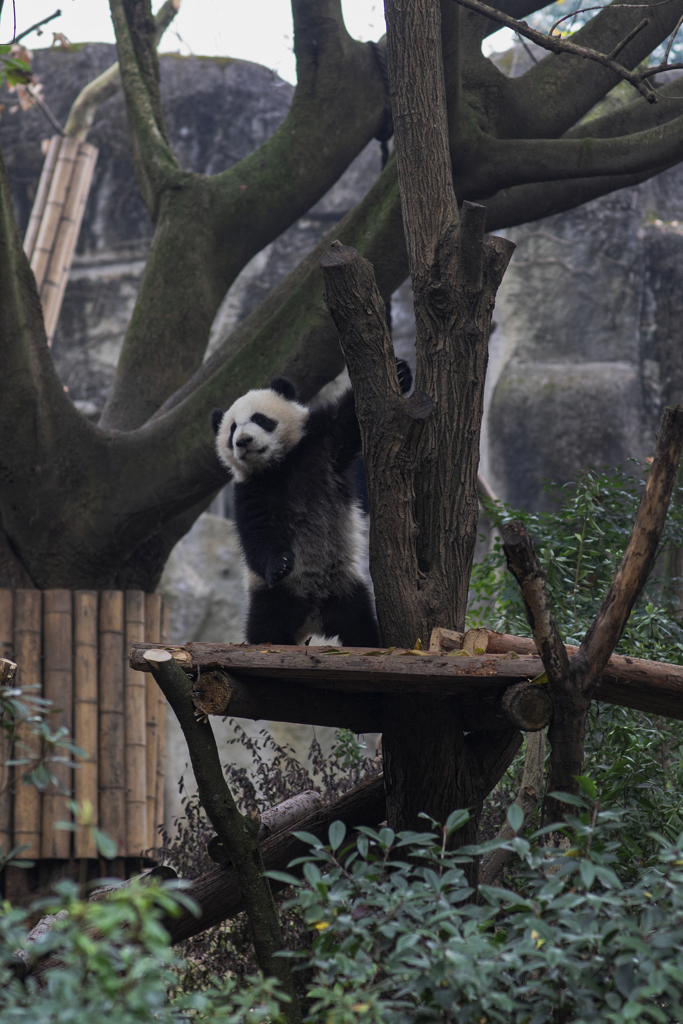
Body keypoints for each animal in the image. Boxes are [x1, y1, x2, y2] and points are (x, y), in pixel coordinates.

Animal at [211, 364, 411, 643]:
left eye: (260, 419)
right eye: (231, 429)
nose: (244, 441)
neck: (279, 464)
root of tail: (311, 622)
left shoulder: (321, 445)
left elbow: (348, 419)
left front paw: (401, 374)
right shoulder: (251, 490)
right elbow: (258, 533)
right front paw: (280, 565)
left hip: (345, 586)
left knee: (358, 622)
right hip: (274, 594)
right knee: (266, 626)